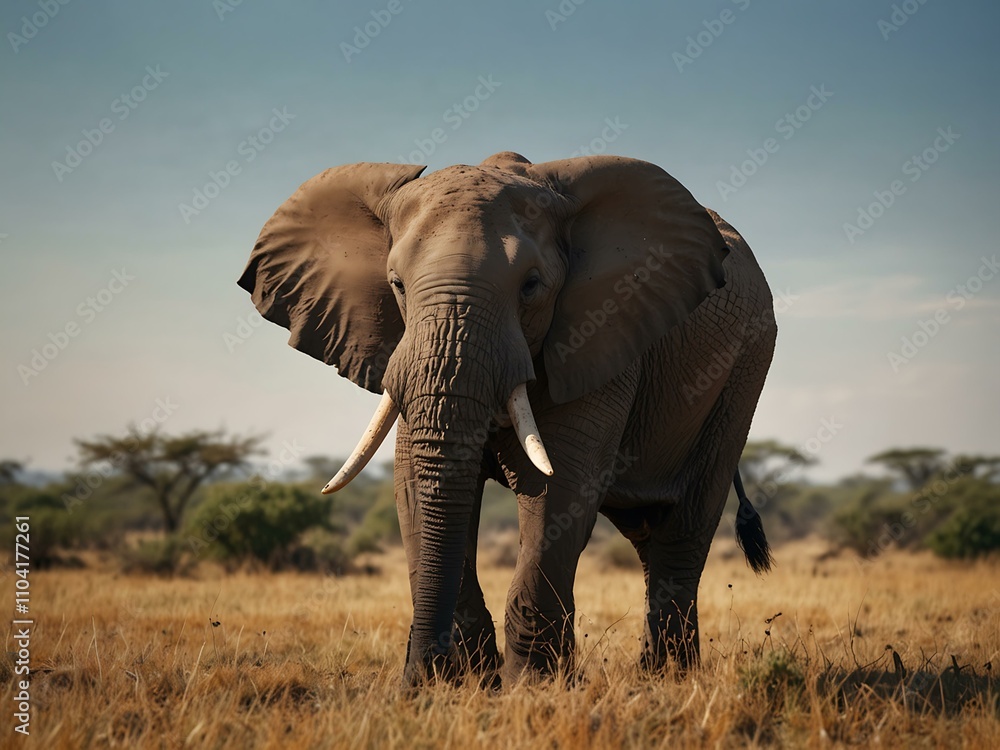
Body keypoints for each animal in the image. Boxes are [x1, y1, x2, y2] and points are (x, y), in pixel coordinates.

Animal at [237, 151, 775, 687]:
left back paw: (668, 682)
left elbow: (558, 490)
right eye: (396, 285)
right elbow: (414, 485)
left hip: (744, 369)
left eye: (531, 286)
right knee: (647, 533)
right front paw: (470, 684)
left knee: (683, 529)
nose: (414, 680)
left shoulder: (597, 334)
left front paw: (531, 688)